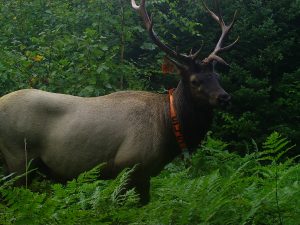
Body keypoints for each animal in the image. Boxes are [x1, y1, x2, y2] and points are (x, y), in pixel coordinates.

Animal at [0, 0, 239, 204]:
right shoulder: (130, 165)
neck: (168, 128)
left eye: (217, 76)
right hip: (17, 158)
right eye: (195, 80)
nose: (225, 98)